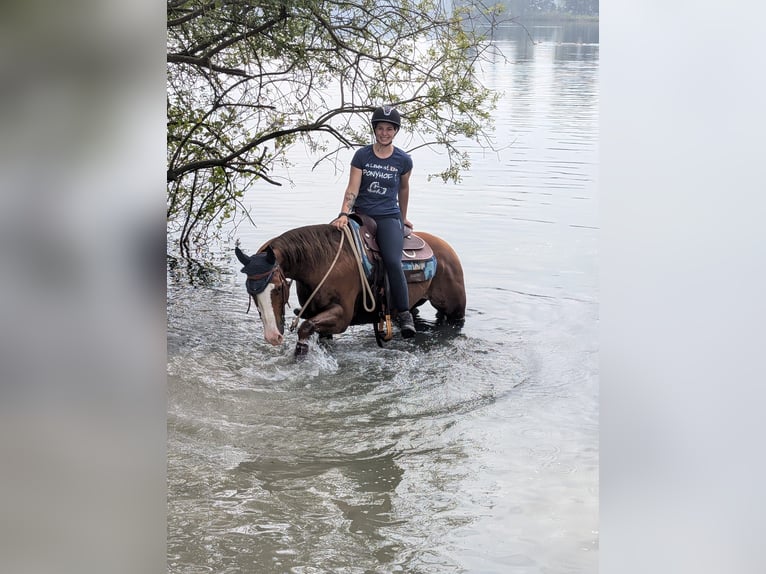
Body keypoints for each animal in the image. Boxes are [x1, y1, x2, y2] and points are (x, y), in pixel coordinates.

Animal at [234, 225, 464, 356]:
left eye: (279, 287)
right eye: (251, 293)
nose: (272, 336)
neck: (322, 262)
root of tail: (447, 248)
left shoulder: (341, 317)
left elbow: (305, 328)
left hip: (455, 309)